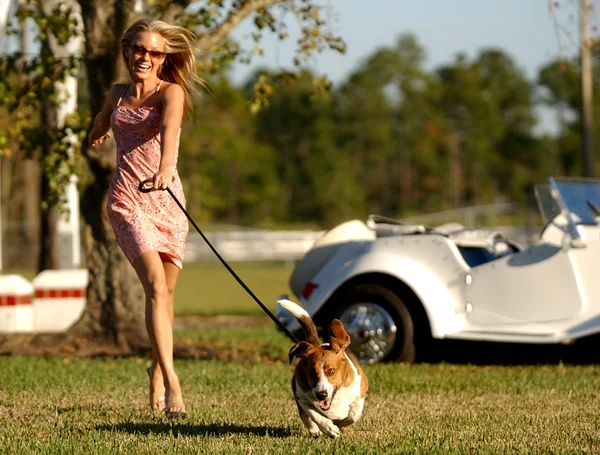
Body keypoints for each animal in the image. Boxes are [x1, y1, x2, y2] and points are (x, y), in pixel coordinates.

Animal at [278, 300, 368, 438]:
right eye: (312, 373)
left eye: (331, 371)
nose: (321, 395)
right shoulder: (302, 399)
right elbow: (315, 415)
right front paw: (329, 429)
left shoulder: (360, 395)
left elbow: (353, 415)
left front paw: (339, 425)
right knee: (307, 419)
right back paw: (316, 430)